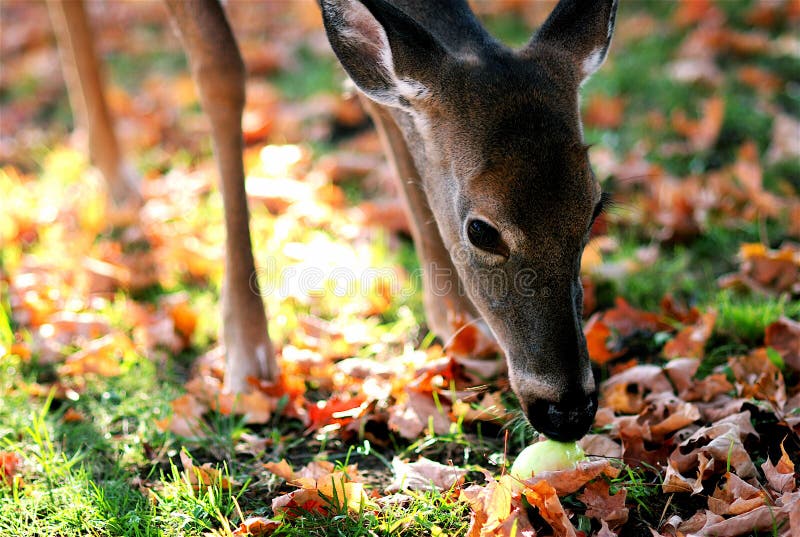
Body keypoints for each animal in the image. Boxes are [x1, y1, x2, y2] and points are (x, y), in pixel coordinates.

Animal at [50, 0, 620, 442]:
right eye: (481, 229)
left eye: (594, 208)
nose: (568, 411)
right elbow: (220, 67)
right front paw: (247, 351)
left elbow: (380, 99)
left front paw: (459, 323)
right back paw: (114, 171)